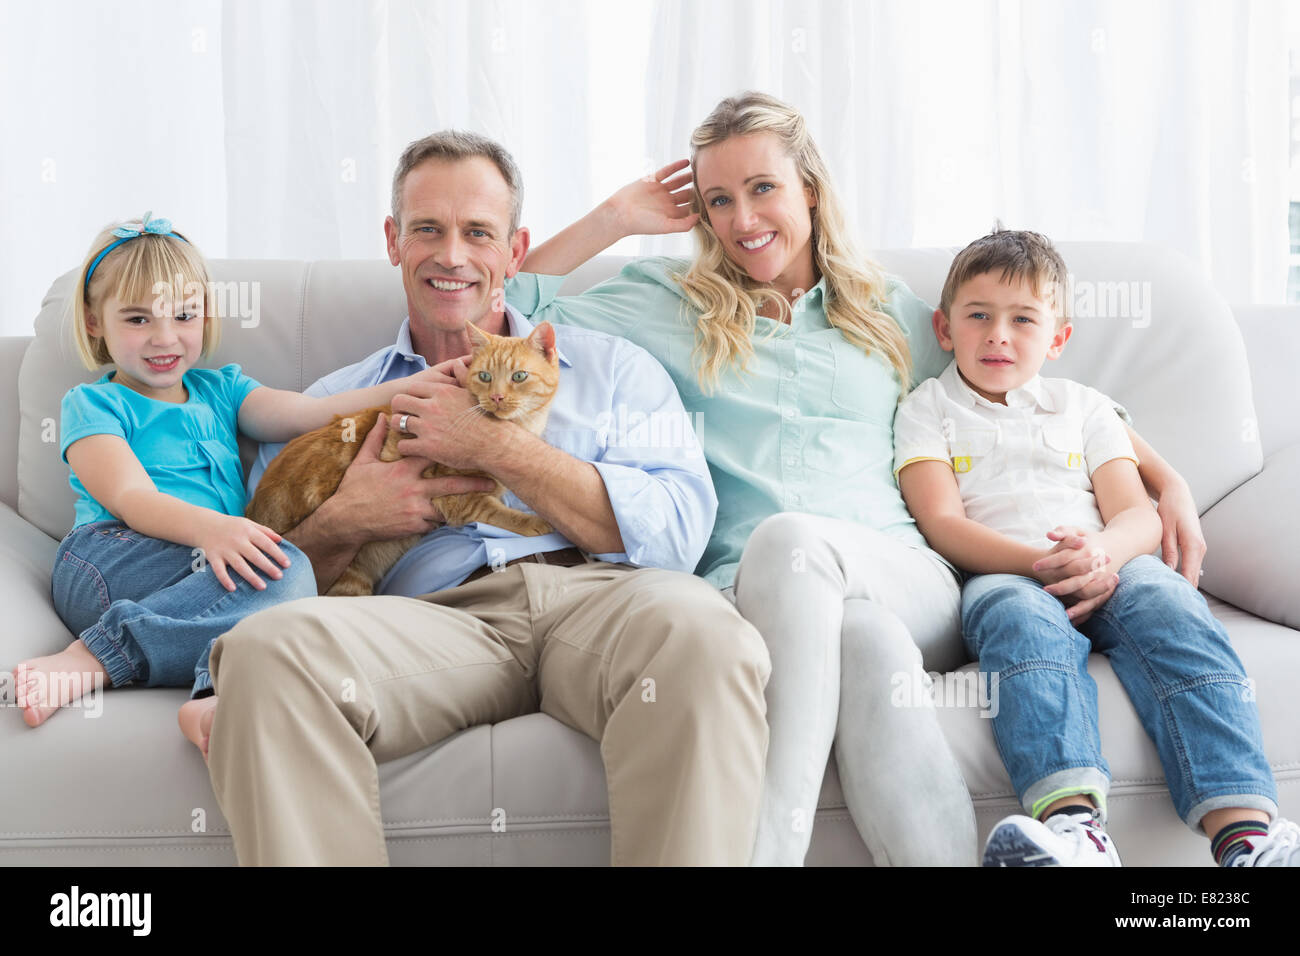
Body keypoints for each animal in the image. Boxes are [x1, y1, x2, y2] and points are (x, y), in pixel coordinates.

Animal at [245, 321, 561, 595]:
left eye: (518, 376)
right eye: (485, 376)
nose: (496, 398)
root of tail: (252, 510)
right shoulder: (458, 498)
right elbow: (498, 513)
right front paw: (534, 522)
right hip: (348, 578)